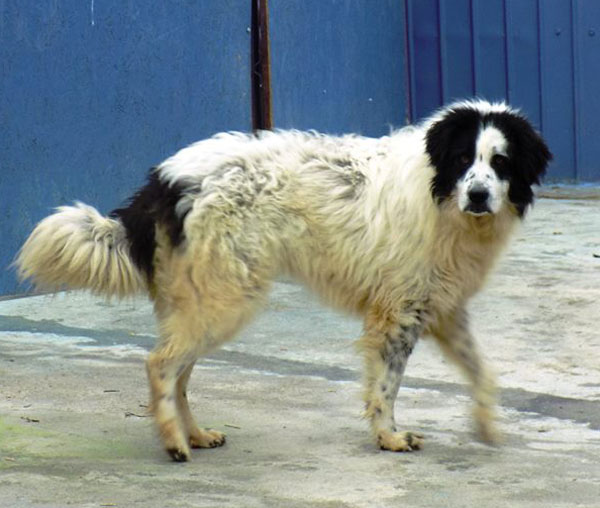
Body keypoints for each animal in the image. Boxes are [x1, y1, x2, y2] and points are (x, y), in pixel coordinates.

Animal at [14, 98, 552, 460]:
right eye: (463, 160)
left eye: (500, 162)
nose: (479, 195)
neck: (440, 196)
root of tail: (166, 179)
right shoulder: (397, 313)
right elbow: (386, 387)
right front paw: (389, 437)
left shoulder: (441, 308)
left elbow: (482, 372)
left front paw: (486, 426)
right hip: (227, 299)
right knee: (161, 365)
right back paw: (173, 443)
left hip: (200, 301)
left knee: (179, 372)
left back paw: (195, 434)